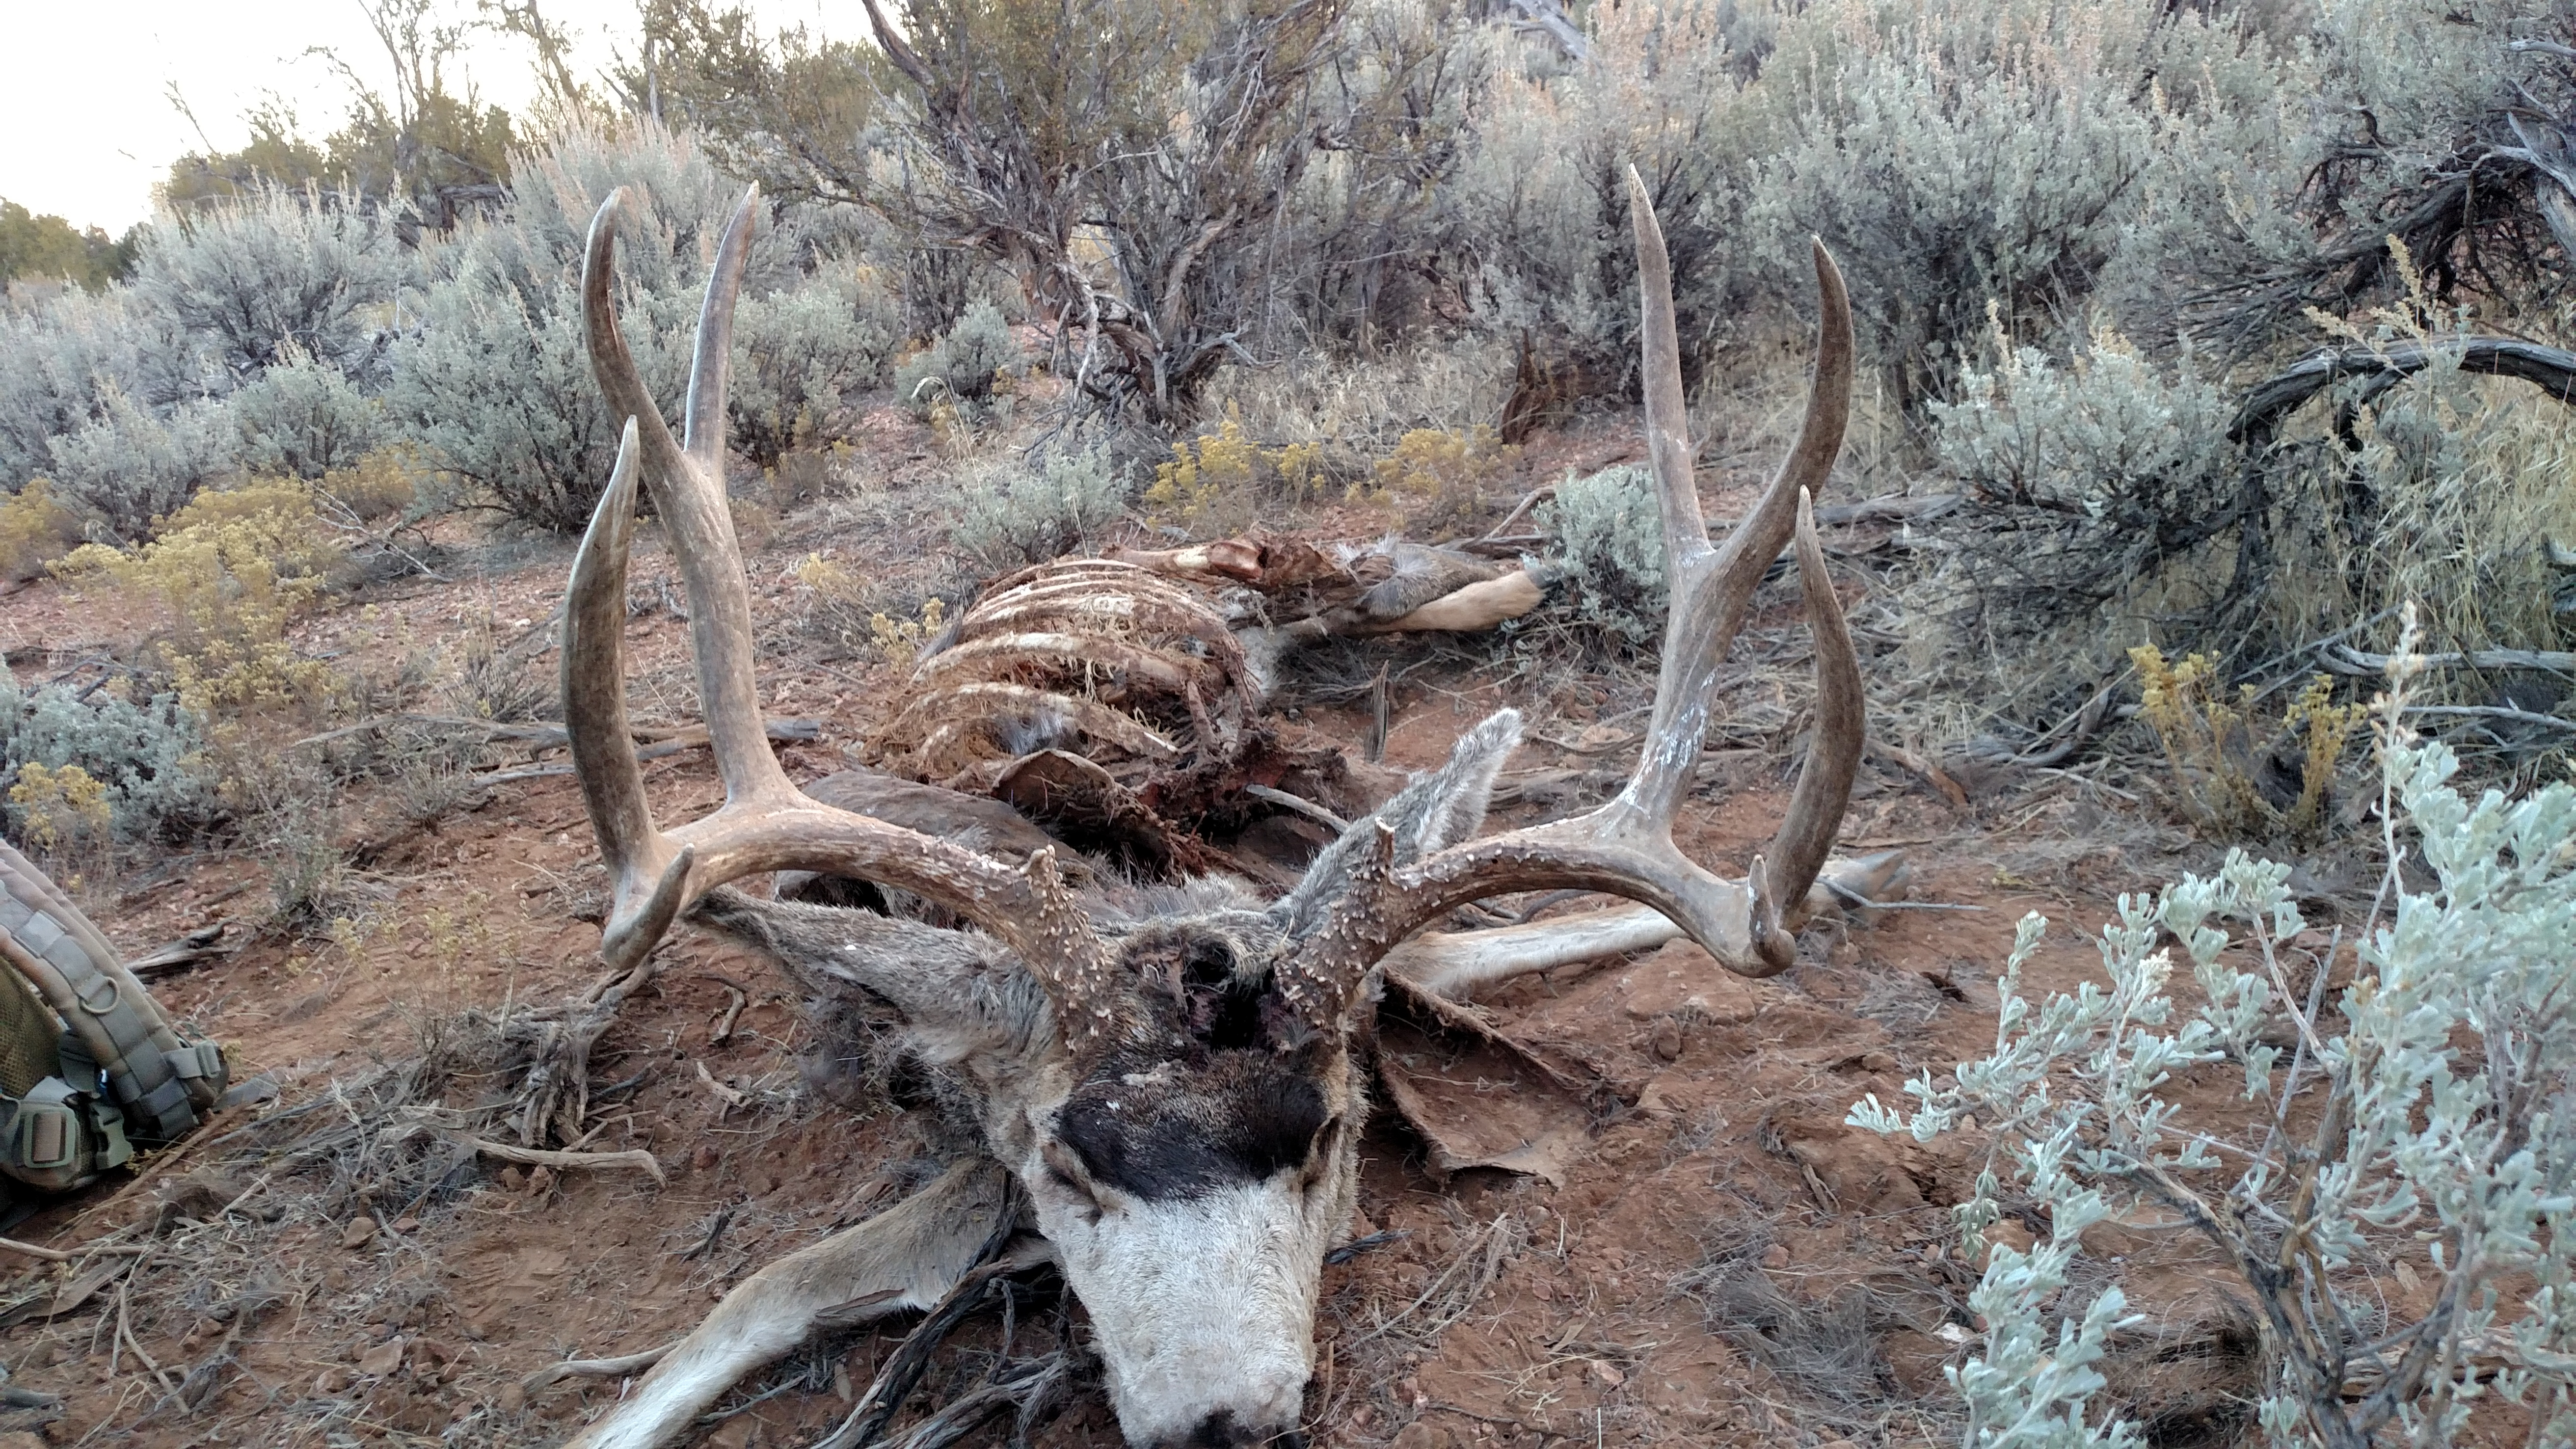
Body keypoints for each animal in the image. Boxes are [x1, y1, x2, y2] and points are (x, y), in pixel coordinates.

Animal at [553, 166, 1892, 1449]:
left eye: (1329, 1135)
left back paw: (1550, 566)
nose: (1226, 1421)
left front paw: (1844, 870)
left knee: (1423, 568)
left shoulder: (1300, 912)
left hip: (1293, 563)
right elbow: (760, 1294)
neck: (1109, 875)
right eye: (1064, 1162)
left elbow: (1469, 942)